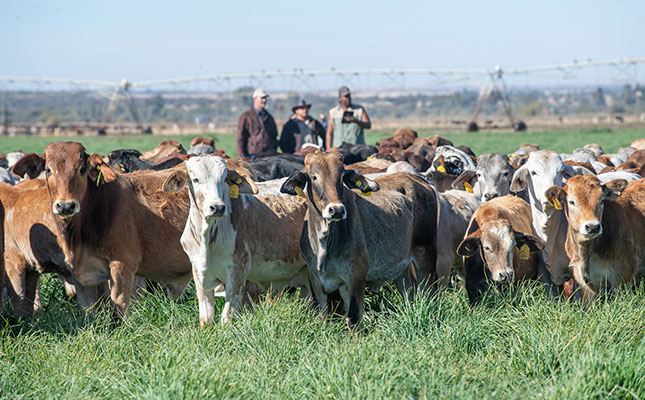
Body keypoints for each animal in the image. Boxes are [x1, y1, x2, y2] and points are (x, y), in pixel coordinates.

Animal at [12, 142, 194, 318]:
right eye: (48, 170)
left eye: (82, 169)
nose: (65, 206)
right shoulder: (81, 278)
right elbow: (88, 313)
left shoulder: (122, 268)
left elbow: (120, 308)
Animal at [280, 152, 436, 330]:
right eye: (314, 177)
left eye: (341, 177)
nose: (336, 210)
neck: (323, 244)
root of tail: (420, 181)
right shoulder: (316, 279)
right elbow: (322, 316)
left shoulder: (356, 275)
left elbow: (354, 318)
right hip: (403, 266)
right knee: (408, 292)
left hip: (426, 256)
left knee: (430, 293)